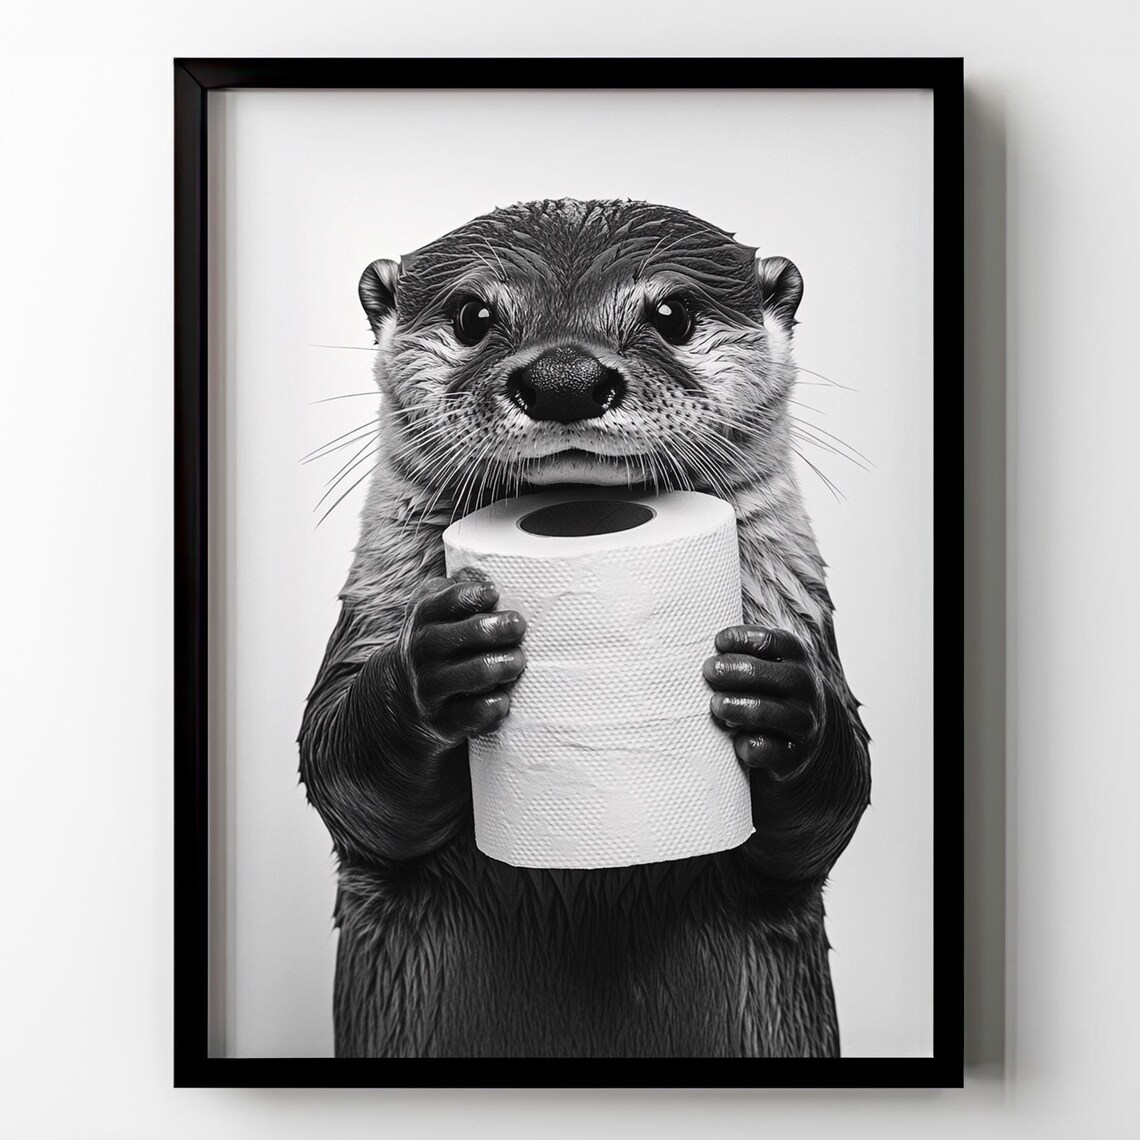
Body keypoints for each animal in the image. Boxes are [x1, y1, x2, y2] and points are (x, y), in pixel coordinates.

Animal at [299, 198, 871, 1058]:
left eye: (672, 314)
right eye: (472, 315)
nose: (563, 378)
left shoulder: (800, 607)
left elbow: (830, 811)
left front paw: (778, 699)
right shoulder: (369, 612)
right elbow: (340, 771)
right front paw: (437, 666)